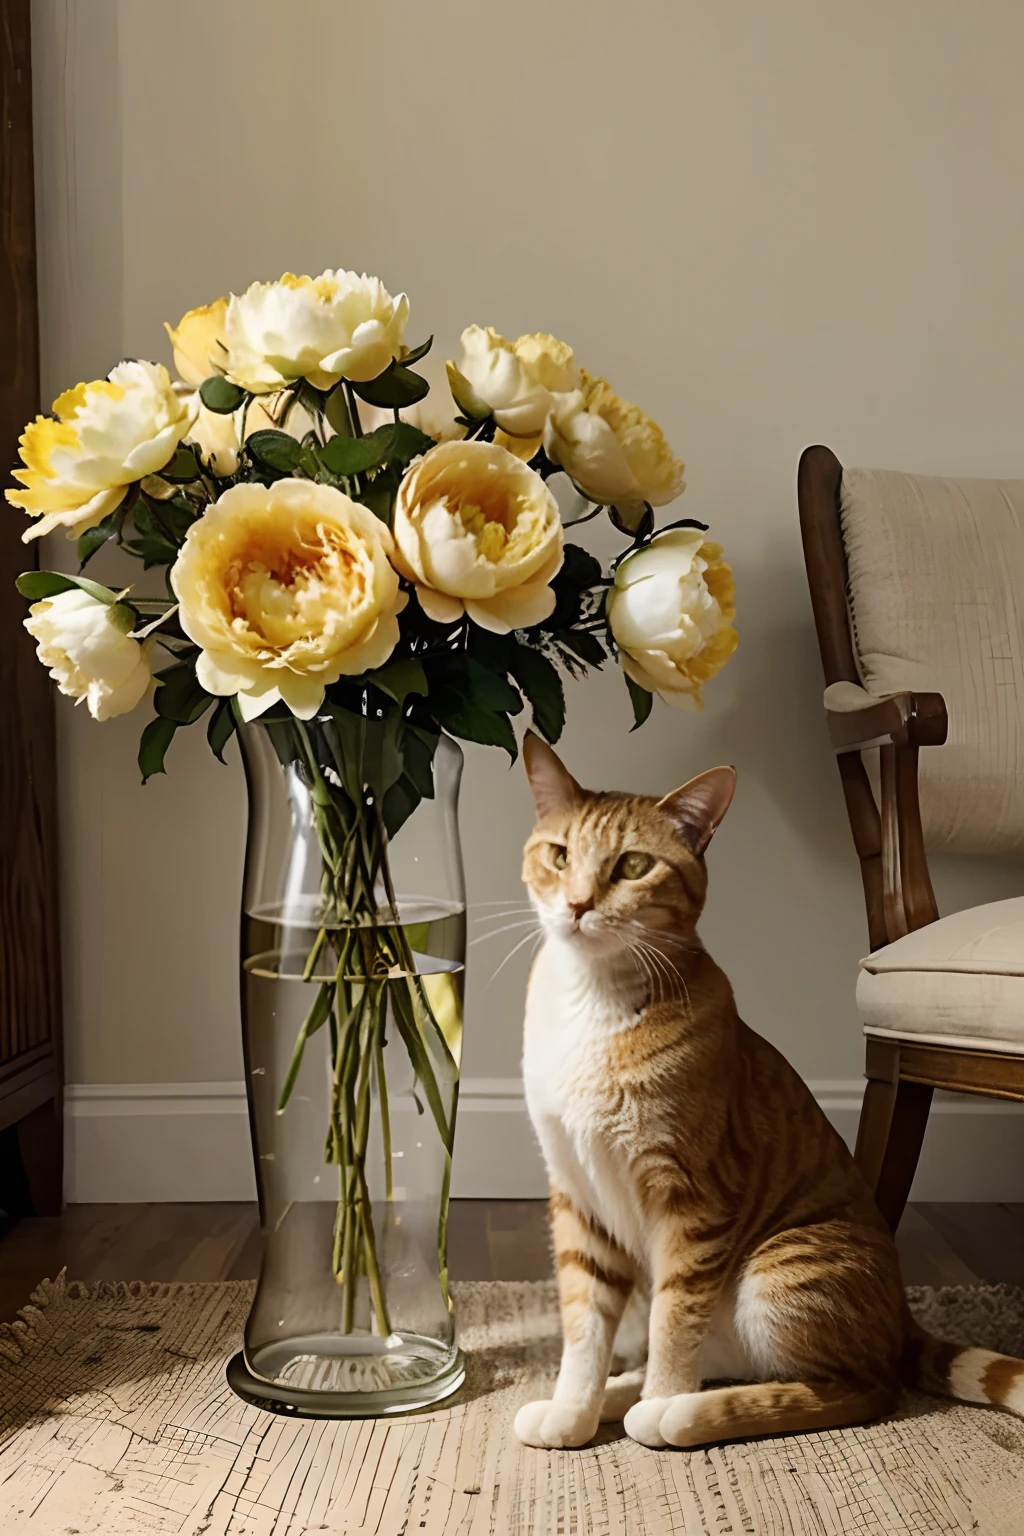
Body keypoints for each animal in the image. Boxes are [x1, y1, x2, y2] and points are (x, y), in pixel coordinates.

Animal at [515, 731, 1024, 1449]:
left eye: (633, 865)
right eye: (559, 855)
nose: (579, 905)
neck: (594, 1003)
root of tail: (900, 1315)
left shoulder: (695, 1198)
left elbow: (674, 1319)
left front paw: (659, 1400)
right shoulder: (577, 1193)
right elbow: (584, 1325)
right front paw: (574, 1408)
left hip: (782, 1269)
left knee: (860, 1390)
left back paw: (677, 1411)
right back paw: (623, 1395)